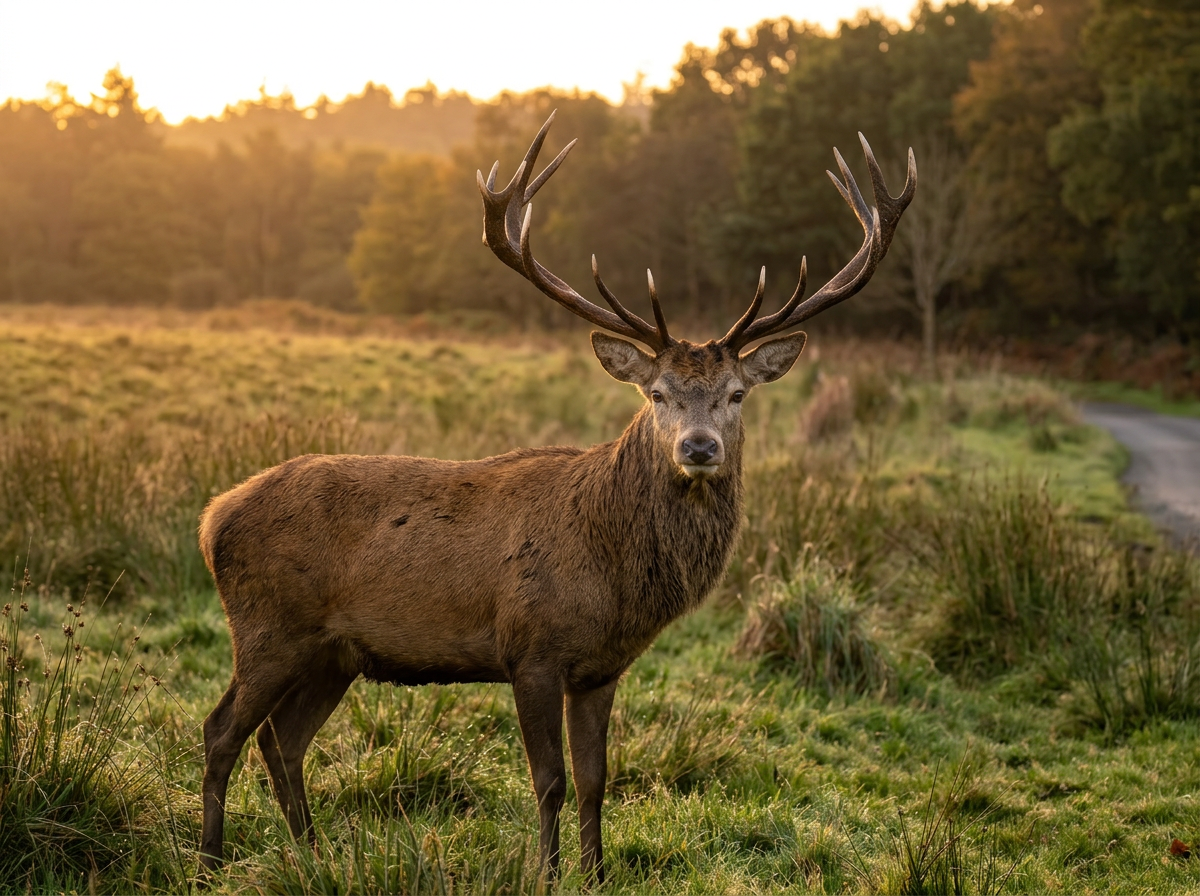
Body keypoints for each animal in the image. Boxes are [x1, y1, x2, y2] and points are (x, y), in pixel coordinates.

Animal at [197, 112, 915, 882]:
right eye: (656, 393)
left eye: (736, 394)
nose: (698, 448)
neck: (614, 577)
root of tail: (213, 518)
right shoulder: (529, 648)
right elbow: (550, 781)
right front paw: (546, 873)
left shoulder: (599, 669)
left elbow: (598, 779)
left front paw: (596, 874)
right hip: (269, 627)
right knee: (221, 731)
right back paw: (209, 861)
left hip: (333, 654)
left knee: (281, 741)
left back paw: (312, 854)